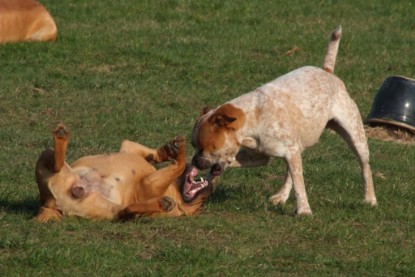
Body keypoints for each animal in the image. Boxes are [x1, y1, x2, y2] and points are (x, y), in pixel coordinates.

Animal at [35, 123, 214, 222]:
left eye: (201, 205)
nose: (211, 188)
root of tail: (51, 204)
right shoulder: (129, 147)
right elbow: (154, 154)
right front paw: (167, 150)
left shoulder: (148, 183)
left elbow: (179, 165)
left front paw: (178, 153)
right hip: (47, 157)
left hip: (108, 209)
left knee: (125, 211)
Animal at [192, 25, 376, 215]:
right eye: (194, 145)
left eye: (205, 146)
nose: (194, 161)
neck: (254, 116)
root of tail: (327, 71)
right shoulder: (259, 156)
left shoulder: (289, 151)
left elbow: (300, 185)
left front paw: (304, 211)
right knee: (291, 173)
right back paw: (281, 196)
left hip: (355, 137)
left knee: (365, 167)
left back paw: (370, 199)